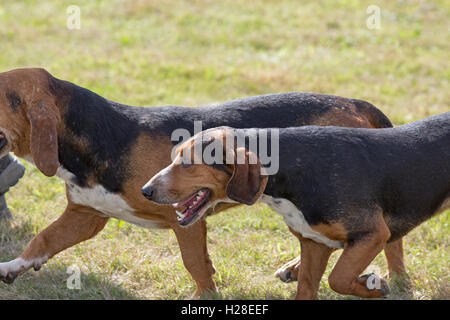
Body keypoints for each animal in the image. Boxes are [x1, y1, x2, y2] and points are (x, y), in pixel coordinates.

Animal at [144, 111, 450, 298]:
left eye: (188, 163)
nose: (145, 190)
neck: (295, 169)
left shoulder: (372, 234)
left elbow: (338, 278)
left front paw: (372, 287)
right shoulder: (314, 243)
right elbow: (310, 287)